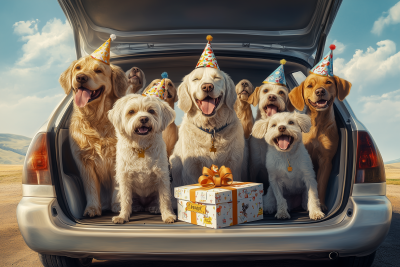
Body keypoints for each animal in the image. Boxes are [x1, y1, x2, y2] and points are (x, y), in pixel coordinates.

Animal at [59, 55, 127, 218]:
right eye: (78, 68)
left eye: (98, 70)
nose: (81, 77)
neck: (96, 119)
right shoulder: (84, 162)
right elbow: (90, 188)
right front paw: (92, 208)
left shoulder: (117, 158)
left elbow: (117, 185)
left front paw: (118, 205)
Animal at [107, 94, 176, 224]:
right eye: (131, 111)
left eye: (151, 111)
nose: (144, 118)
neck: (141, 147)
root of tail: (144, 205)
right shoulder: (124, 179)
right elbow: (126, 200)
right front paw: (123, 216)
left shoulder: (162, 177)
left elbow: (165, 199)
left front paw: (167, 215)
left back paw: (154, 207)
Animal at [290, 74, 352, 211]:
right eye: (309, 86)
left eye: (328, 82)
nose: (320, 91)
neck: (318, 123)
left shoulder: (326, 161)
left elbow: (321, 185)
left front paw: (320, 204)